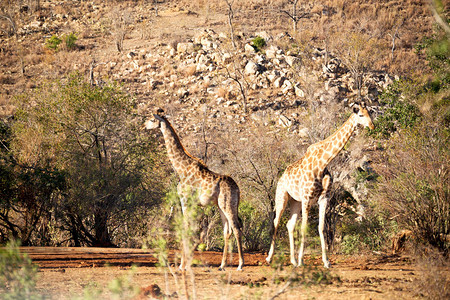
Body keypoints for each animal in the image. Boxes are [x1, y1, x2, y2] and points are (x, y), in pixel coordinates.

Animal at [144, 108, 244, 272]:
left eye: (152, 119)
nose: (144, 125)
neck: (181, 168)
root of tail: (237, 189)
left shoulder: (185, 200)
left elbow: (185, 228)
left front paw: (182, 265)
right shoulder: (192, 204)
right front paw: (185, 264)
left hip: (228, 204)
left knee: (236, 228)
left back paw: (240, 264)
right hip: (221, 206)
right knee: (227, 231)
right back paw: (222, 265)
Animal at [266, 102, 374, 268]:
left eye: (370, 113)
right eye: (361, 115)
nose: (372, 126)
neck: (323, 163)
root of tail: (281, 177)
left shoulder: (324, 198)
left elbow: (321, 227)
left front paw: (326, 261)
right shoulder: (307, 198)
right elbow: (304, 227)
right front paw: (302, 261)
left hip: (295, 201)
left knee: (289, 225)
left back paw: (292, 260)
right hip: (282, 196)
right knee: (276, 221)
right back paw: (270, 258)